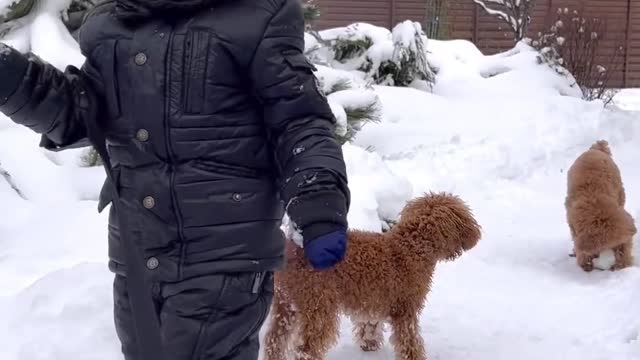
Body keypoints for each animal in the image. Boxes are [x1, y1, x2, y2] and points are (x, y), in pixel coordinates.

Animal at [264, 191, 480, 360]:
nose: (475, 237)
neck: (413, 246)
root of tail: (293, 250)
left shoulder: (373, 300)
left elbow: (370, 325)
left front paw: (368, 345)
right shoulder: (406, 309)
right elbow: (410, 341)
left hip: (286, 305)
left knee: (274, 341)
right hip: (319, 306)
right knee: (306, 349)